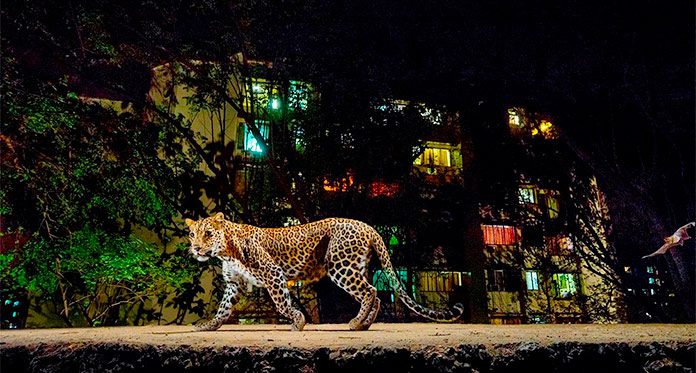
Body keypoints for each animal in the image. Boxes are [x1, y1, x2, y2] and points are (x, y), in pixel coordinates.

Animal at [185, 212, 462, 332]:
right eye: (192, 234)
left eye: (207, 233)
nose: (196, 248)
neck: (226, 251)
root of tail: (369, 227)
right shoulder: (234, 284)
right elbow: (223, 309)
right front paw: (209, 325)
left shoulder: (273, 272)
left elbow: (282, 303)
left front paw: (298, 321)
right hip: (356, 266)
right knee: (376, 294)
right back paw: (364, 324)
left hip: (340, 266)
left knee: (370, 291)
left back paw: (356, 322)